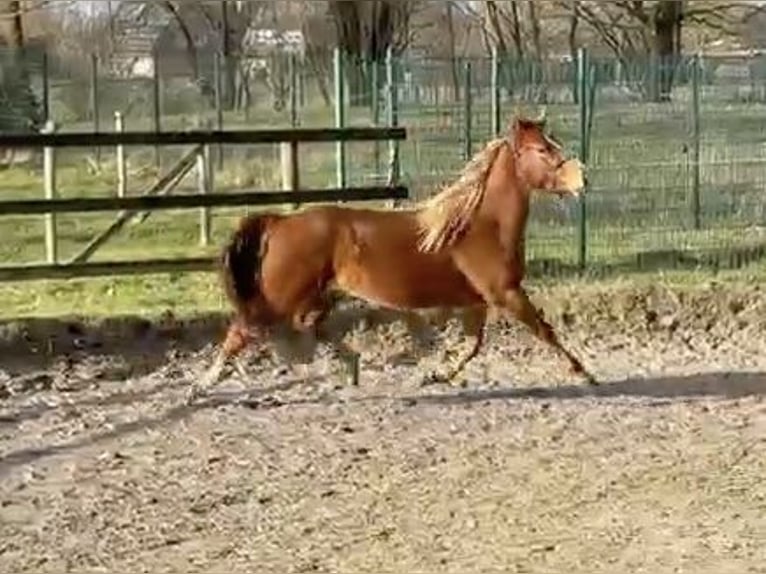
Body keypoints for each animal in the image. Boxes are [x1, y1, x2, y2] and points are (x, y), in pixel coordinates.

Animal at [185, 113, 596, 403]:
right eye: (542, 150)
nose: (583, 180)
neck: (480, 224)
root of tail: (280, 221)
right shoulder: (506, 293)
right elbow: (544, 331)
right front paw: (584, 373)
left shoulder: (477, 301)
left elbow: (472, 345)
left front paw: (437, 374)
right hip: (279, 295)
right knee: (244, 332)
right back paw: (200, 387)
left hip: (316, 293)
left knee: (308, 323)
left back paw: (351, 366)